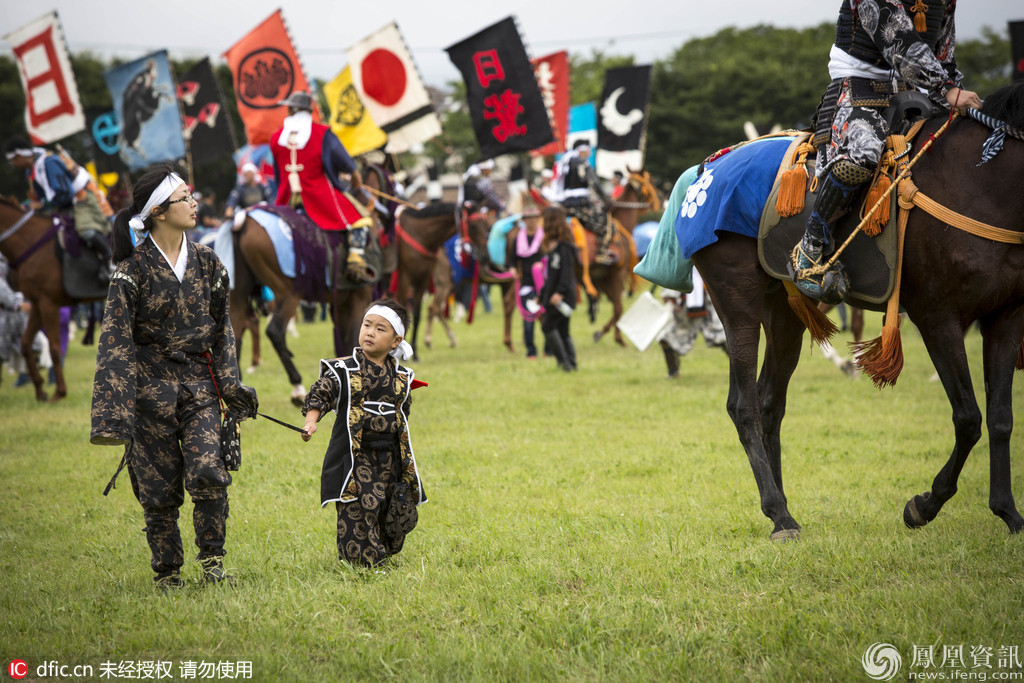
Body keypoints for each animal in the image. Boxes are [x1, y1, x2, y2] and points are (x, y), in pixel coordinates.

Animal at [0, 197, 100, 401]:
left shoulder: (48, 303)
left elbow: (54, 347)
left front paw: (59, 392)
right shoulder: (37, 303)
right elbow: (25, 343)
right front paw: (40, 390)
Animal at [692, 81, 1024, 540]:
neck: (981, 184)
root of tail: (708, 167)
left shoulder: (1005, 319)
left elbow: (1001, 419)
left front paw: (1007, 510)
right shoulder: (938, 318)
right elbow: (968, 418)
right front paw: (925, 505)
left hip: (784, 313)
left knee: (769, 402)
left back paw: (782, 510)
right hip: (737, 304)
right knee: (743, 406)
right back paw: (779, 513)